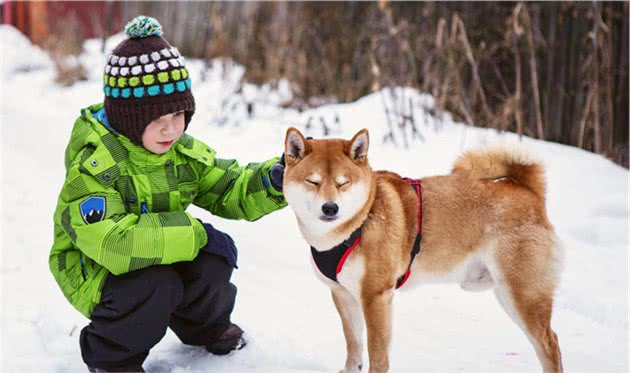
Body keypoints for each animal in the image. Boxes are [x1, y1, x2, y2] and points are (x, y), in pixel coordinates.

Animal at [284, 126, 564, 370]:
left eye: (343, 183)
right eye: (313, 182)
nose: (330, 208)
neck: (359, 223)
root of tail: (528, 191)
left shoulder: (375, 296)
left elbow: (377, 355)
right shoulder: (343, 294)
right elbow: (354, 344)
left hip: (522, 293)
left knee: (550, 344)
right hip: (507, 292)